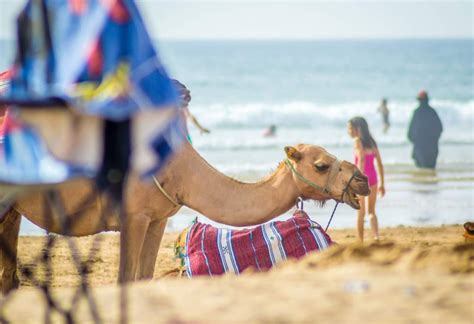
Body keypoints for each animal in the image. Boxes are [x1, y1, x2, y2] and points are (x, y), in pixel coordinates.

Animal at [0, 142, 370, 294]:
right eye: (321, 164)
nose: (363, 181)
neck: (184, 172)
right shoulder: (134, 216)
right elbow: (125, 280)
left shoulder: (157, 218)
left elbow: (143, 278)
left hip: (12, 206)